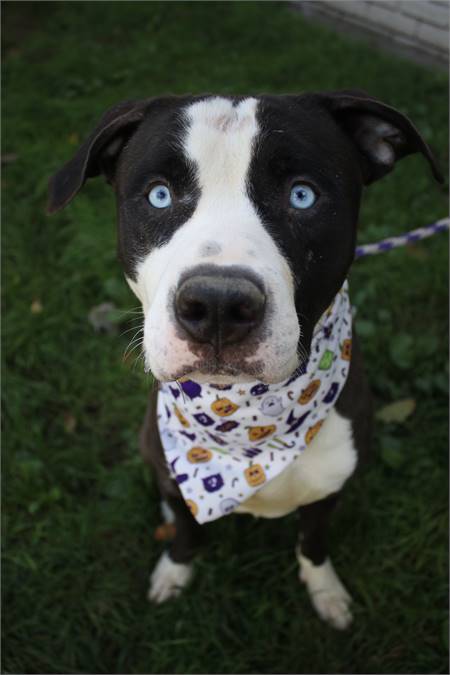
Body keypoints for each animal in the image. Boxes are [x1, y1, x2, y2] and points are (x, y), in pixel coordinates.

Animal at [47, 92, 442, 632]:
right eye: (159, 196)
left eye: (302, 196)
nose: (217, 304)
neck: (248, 429)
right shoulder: (175, 478)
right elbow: (186, 531)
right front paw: (174, 571)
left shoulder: (329, 492)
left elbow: (312, 544)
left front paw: (325, 591)